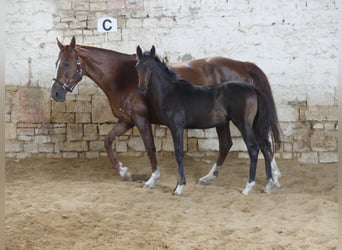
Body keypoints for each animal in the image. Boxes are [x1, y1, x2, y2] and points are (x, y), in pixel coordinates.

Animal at [50, 35, 280, 191]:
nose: (55, 93)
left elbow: (150, 148)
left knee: (253, 144)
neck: (123, 77)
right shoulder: (126, 121)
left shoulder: (141, 120)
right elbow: (107, 141)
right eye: (57, 63)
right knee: (232, 144)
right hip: (224, 121)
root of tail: (244, 65)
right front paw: (124, 171)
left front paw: (153, 178)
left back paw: (271, 178)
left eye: (67, 63)